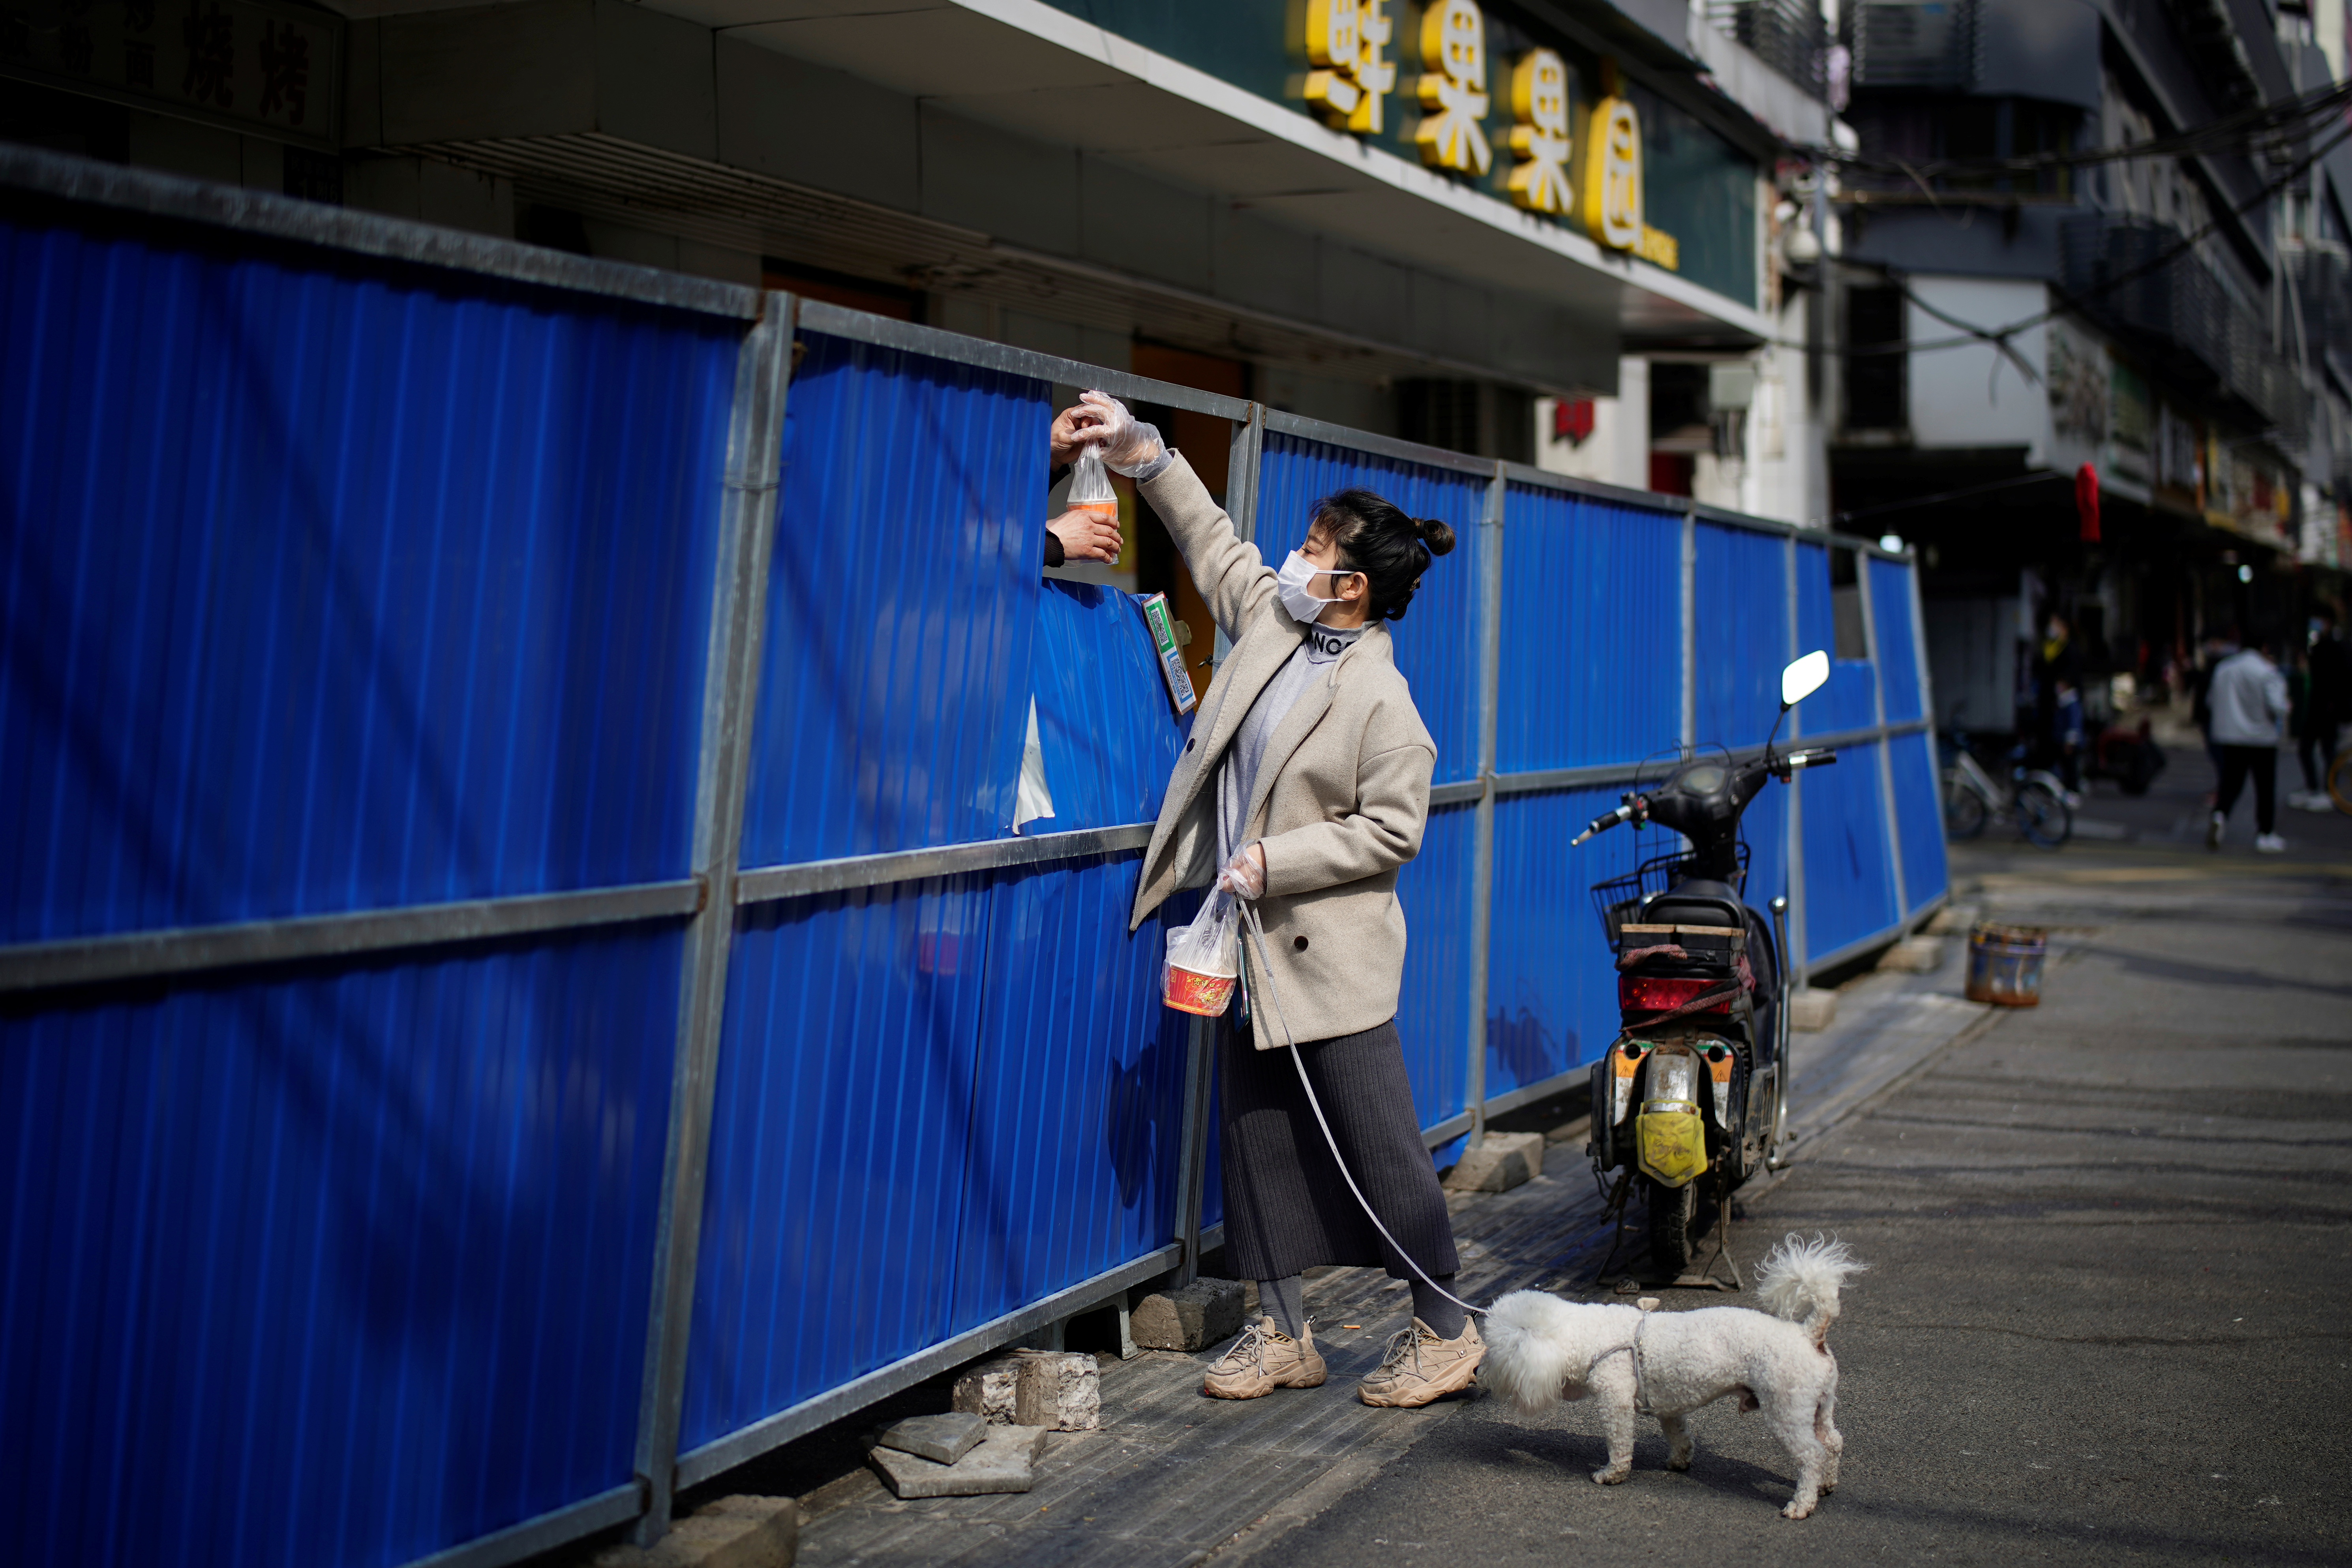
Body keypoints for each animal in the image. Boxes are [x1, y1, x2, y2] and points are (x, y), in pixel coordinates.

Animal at [1486, 1232, 1853, 1514]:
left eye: (1497, 1349)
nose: (1482, 1371)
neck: (1585, 1334)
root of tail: (1810, 1334)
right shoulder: (1670, 1405)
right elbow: (1679, 1435)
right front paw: (1679, 1461)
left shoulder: (1615, 1399)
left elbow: (1620, 1443)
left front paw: (1611, 1475)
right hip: (1819, 1405)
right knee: (1833, 1443)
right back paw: (1827, 1485)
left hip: (1786, 1409)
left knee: (1812, 1455)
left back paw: (1802, 1504)